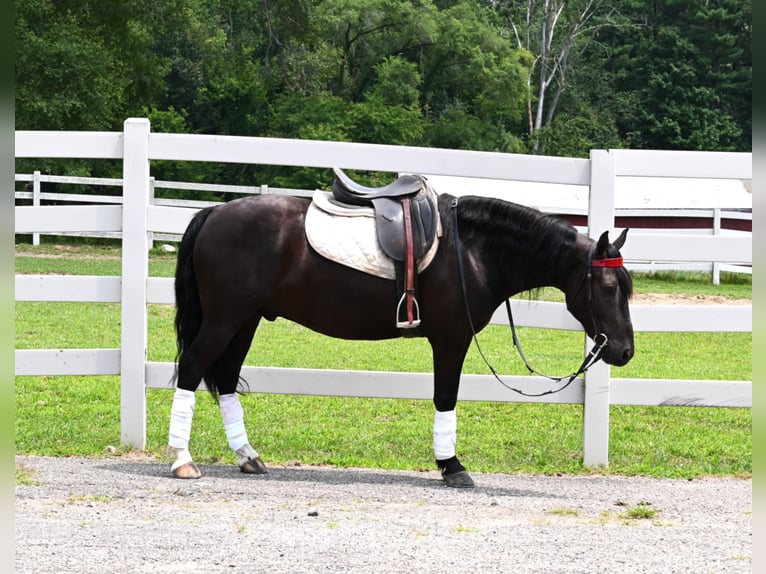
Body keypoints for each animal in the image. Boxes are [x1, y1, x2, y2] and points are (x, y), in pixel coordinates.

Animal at [167, 173, 634, 488]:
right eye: (609, 287)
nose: (625, 351)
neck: (471, 250)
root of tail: (214, 212)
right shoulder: (451, 339)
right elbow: (446, 397)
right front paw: (452, 466)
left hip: (244, 321)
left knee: (226, 379)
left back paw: (248, 456)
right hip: (224, 319)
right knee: (191, 368)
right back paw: (181, 460)